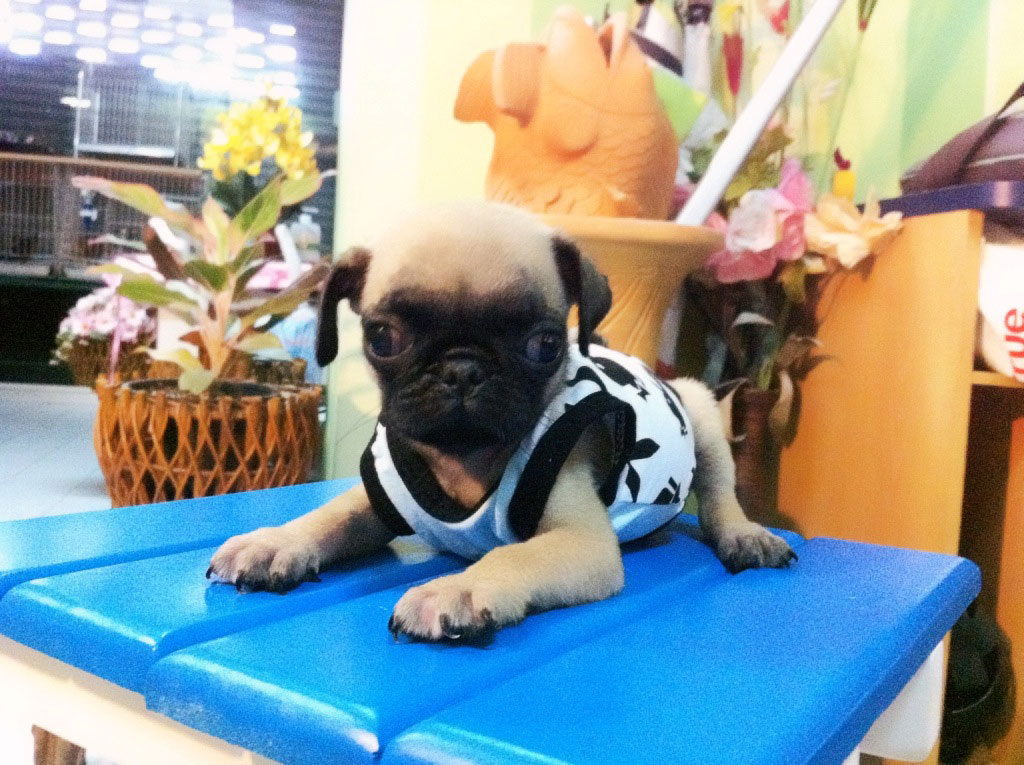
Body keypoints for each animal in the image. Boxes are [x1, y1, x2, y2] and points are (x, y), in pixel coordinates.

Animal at [208, 202, 796, 641]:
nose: (463, 368)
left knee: (719, 493)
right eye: (382, 338)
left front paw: (458, 589)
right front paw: (276, 542)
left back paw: (745, 536)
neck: (464, 463)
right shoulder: (377, 500)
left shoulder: (581, 541)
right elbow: (328, 518)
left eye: (545, 344)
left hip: (700, 409)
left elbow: (512, 556)